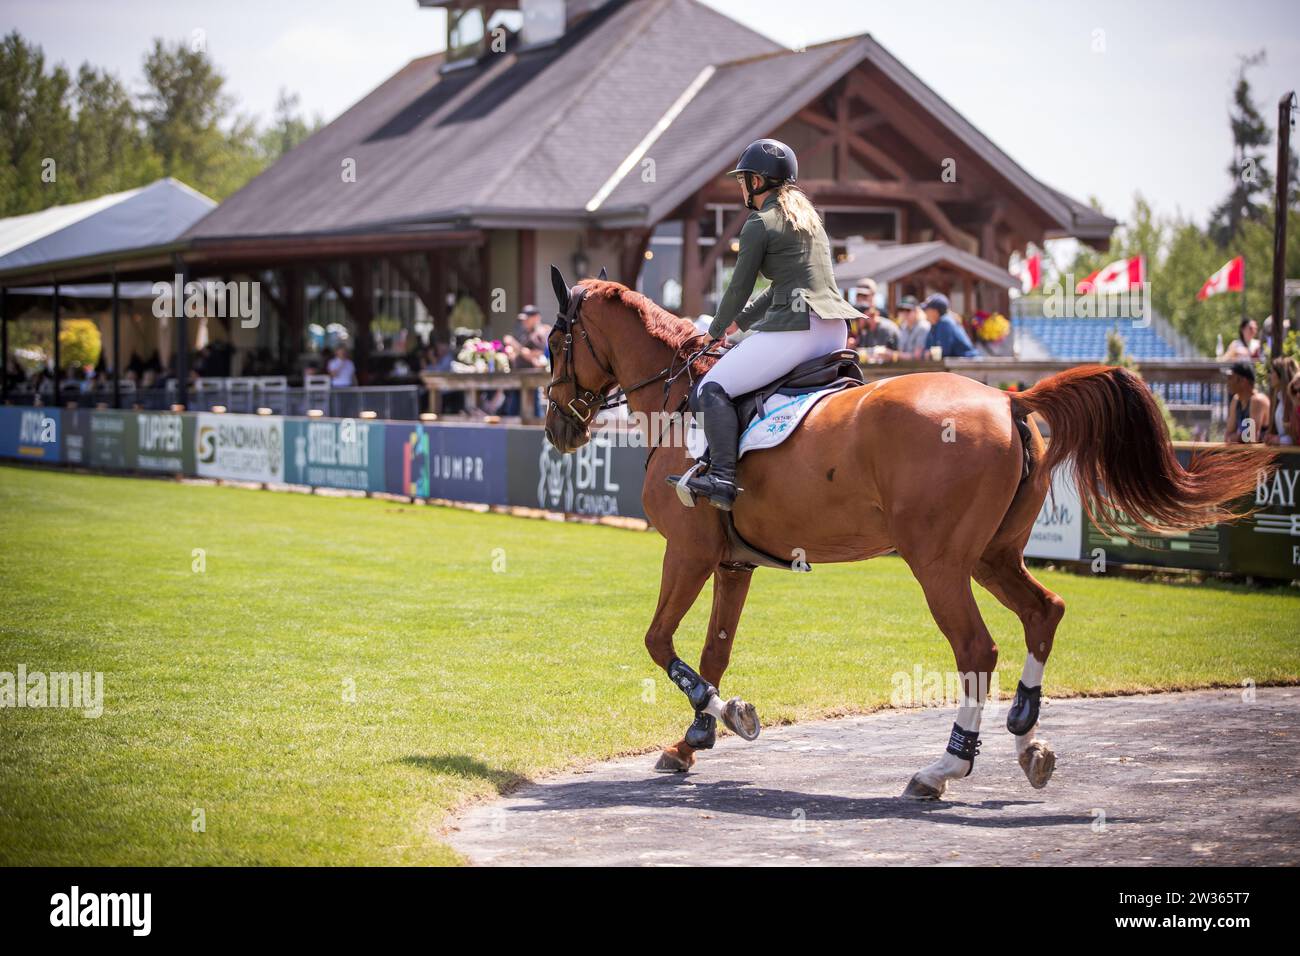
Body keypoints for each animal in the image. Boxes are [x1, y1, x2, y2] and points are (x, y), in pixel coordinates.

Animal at [542, 269, 1268, 799]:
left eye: (553, 343)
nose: (558, 428)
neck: (678, 398)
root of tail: (1008, 398)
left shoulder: (688, 552)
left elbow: (658, 640)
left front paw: (726, 719)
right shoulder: (730, 562)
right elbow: (713, 651)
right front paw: (692, 740)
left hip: (938, 563)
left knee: (977, 649)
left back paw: (944, 769)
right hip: (991, 557)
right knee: (1044, 612)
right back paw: (1027, 738)